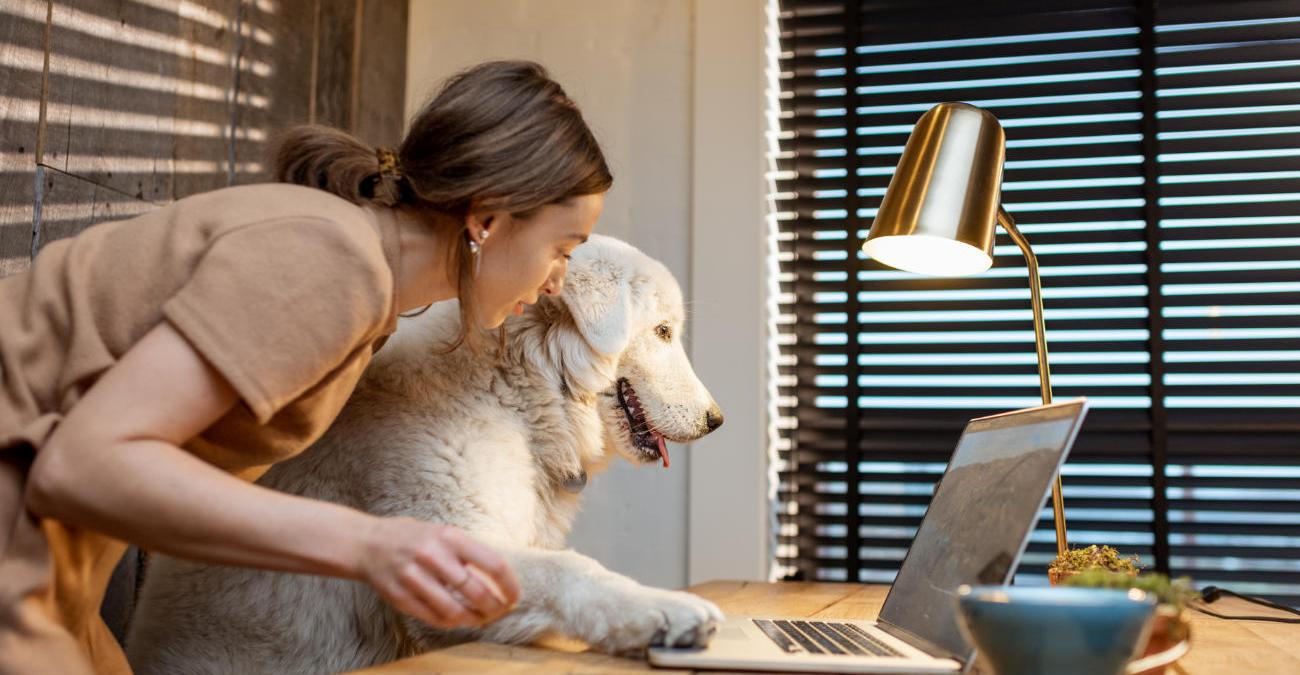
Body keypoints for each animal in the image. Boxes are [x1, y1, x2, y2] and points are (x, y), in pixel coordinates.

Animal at [126, 235, 728, 671]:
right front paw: (663, 610)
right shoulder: (445, 561)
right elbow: (570, 569)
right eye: (664, 331)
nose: (717, 421)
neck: (515, 389)